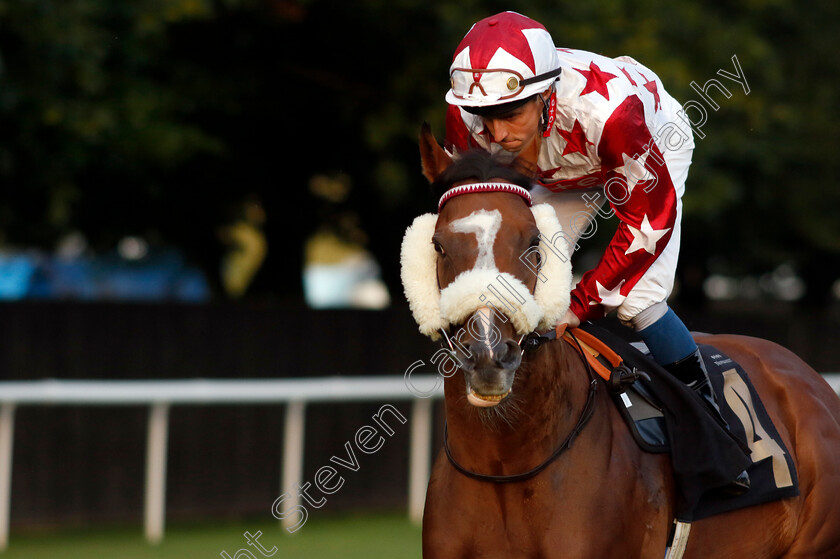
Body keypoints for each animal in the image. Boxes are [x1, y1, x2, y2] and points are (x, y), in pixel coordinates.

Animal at [402, 124, 840, 556]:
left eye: (534, 243)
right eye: (438, 245)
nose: (489, 356)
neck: (505, 464)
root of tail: (810, 380)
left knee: (645, 302)